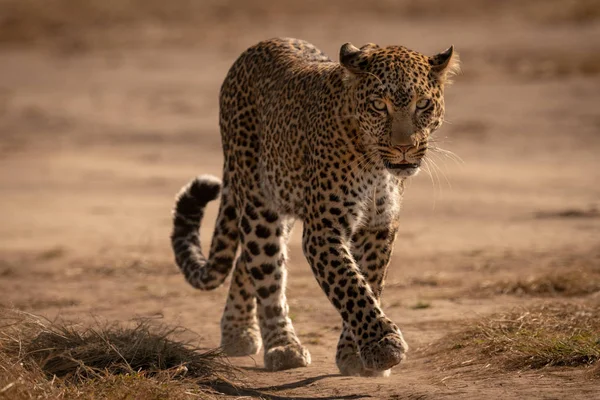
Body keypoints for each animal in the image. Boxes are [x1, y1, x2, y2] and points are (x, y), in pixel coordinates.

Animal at [169, 36, 460, 376]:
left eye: (423, 104)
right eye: (379, 105)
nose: (404, 147)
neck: (375, 164)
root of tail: (259, 45)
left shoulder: (380, 226)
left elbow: (369, 281)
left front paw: (354, 354)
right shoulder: (323, 230)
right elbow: (350, 285)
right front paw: (382, 345)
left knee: (245, 259)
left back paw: (237, 332)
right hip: (258, 202)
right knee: (265, 272)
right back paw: (282, 346)